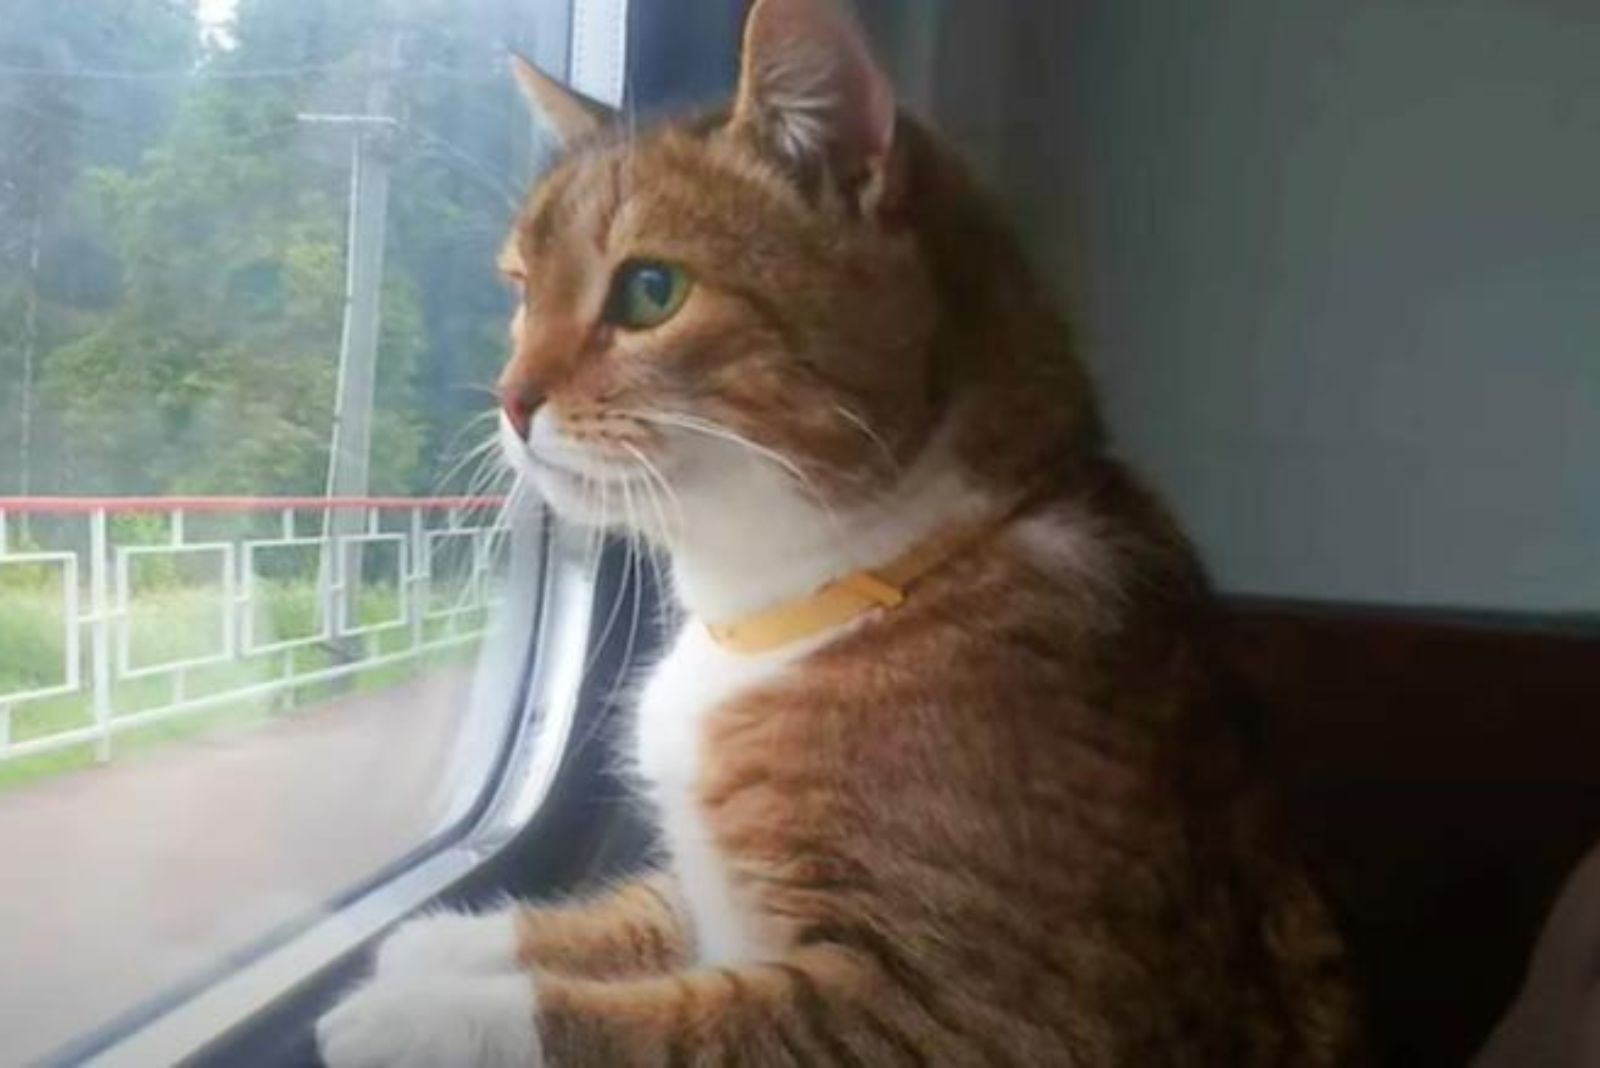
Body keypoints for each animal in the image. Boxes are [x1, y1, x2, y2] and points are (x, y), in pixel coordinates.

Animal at [321, 0, 1363, 1061]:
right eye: (522, 289)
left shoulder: (969, 1013)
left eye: (651, 290)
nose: (510, 398)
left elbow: (678, 1020)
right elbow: (650, 906)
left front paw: (423, 1011)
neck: (802, 603)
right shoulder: (711, 900)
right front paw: (454, 945)